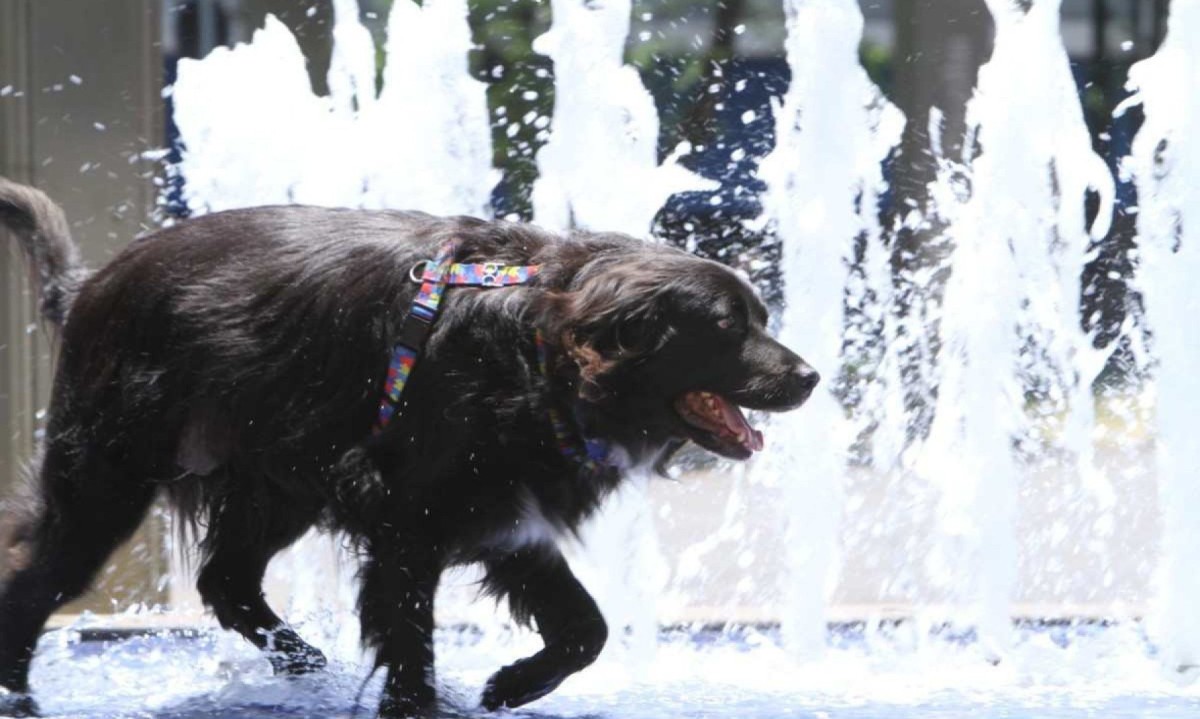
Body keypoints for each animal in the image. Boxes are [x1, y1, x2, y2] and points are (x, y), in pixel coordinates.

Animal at [0, 177, 816, 715]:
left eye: (761, 314)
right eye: (726, 326)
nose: (809, 376)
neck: (538, 352)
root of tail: (90, 283)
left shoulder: (507, 518)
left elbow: (587, 628)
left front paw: (511, 684)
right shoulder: (406, 524)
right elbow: (411, 638)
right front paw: (425, 702)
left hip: (279, 483)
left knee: (226, 580)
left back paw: (304, 662)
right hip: (106, 477)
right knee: (37, 582)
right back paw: (21, 690)